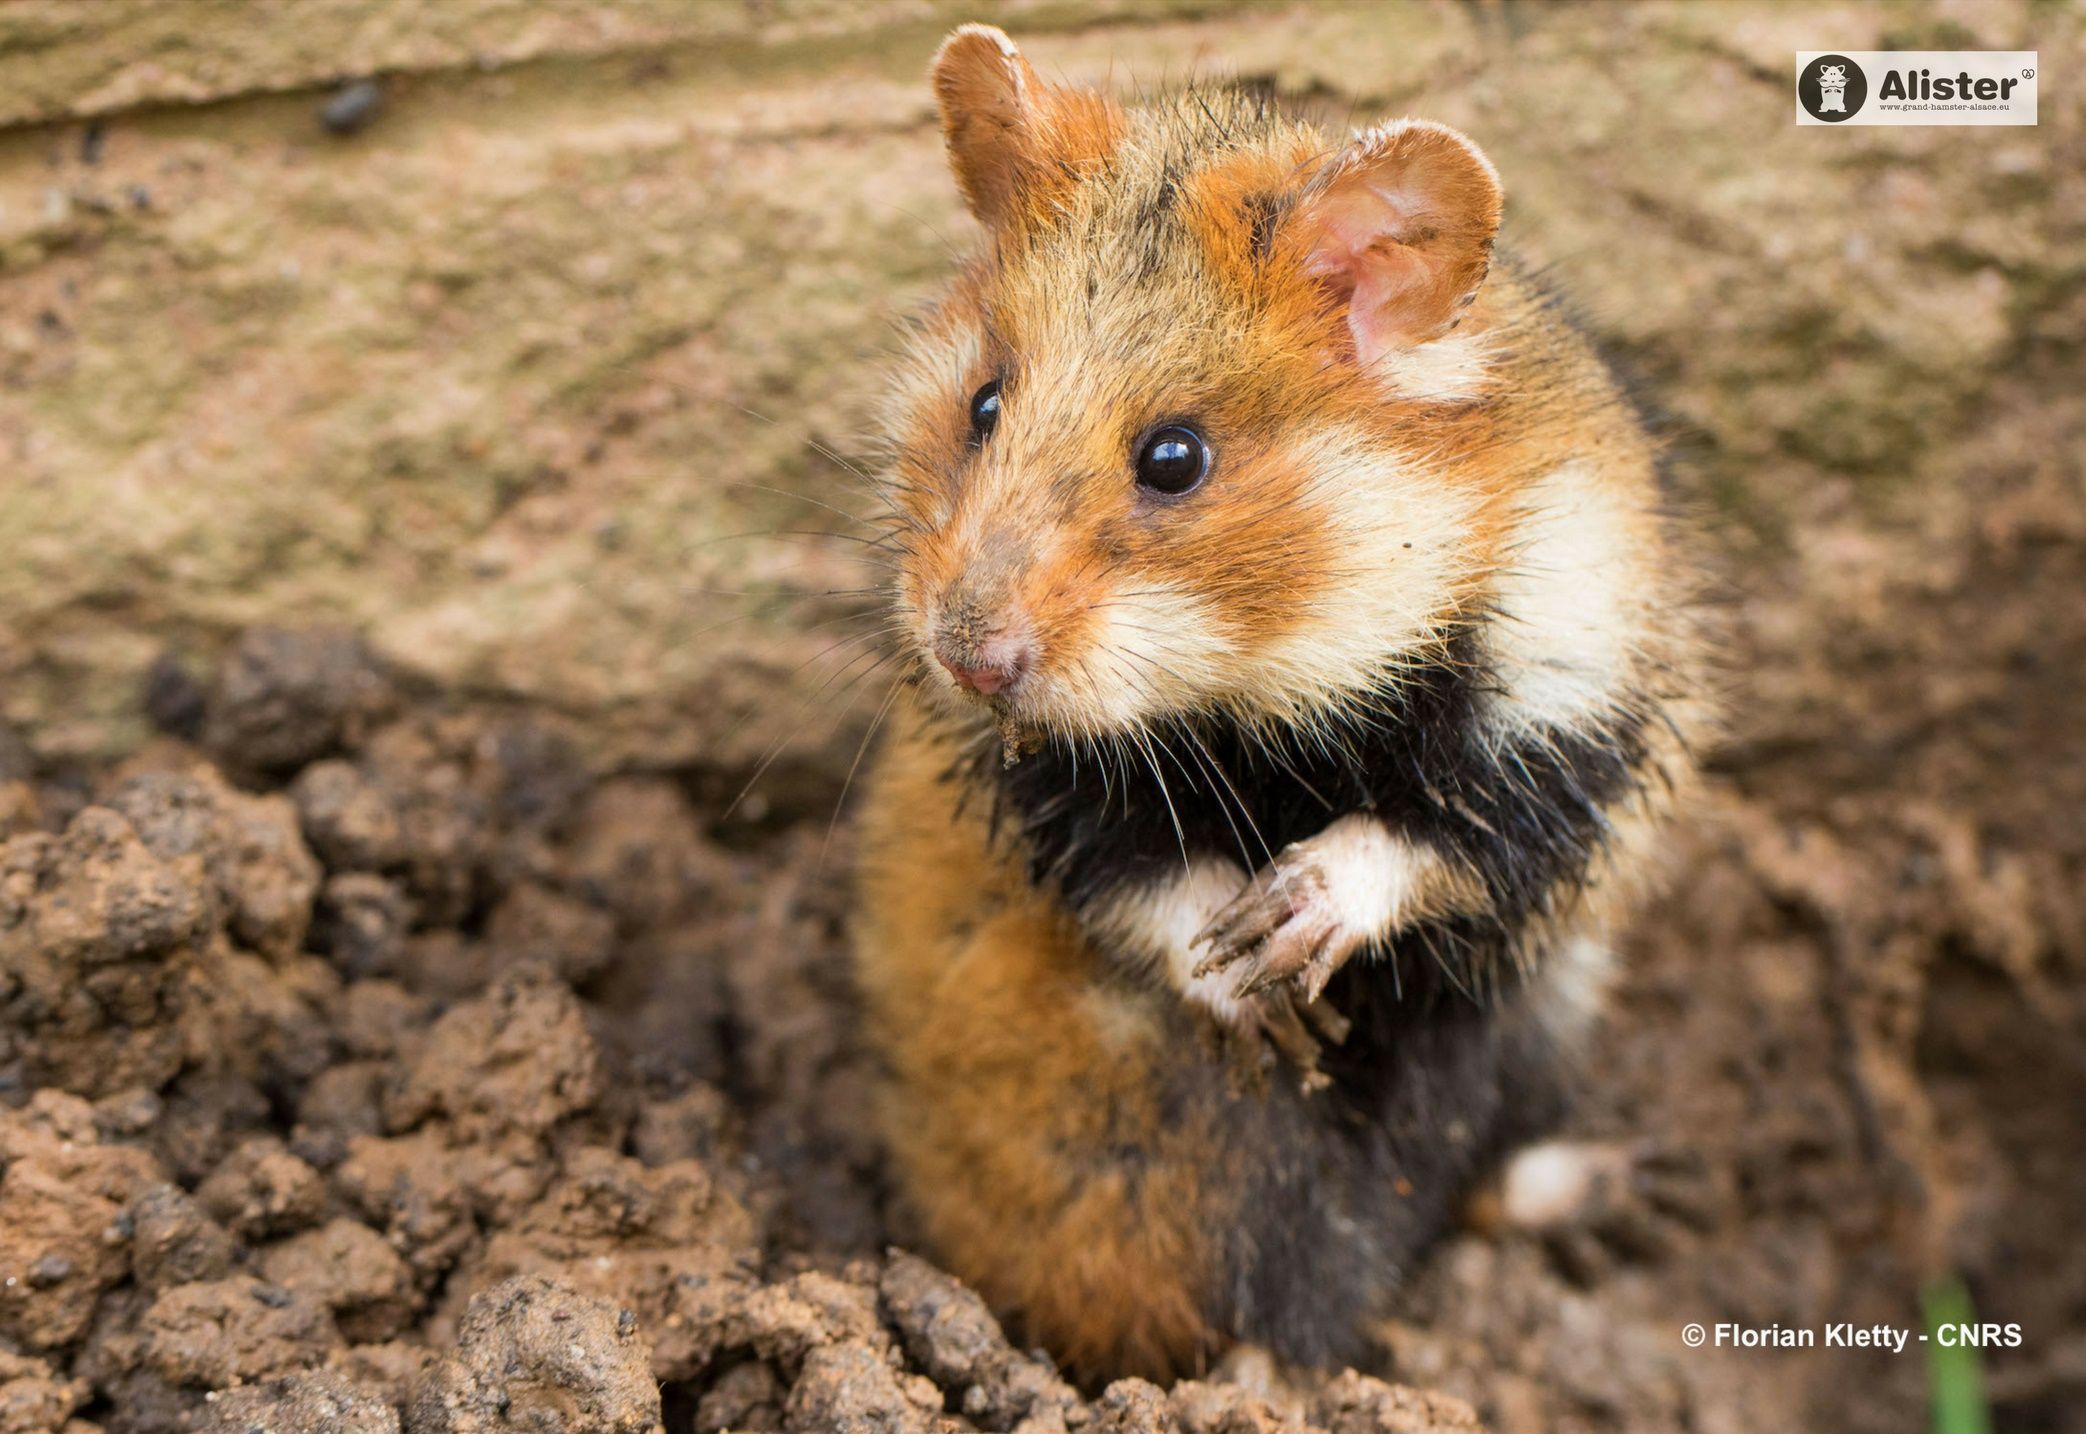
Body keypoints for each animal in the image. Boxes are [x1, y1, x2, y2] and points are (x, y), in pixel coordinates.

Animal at [852, 24, 1709, 1382]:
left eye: (1175, 457)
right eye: (984, 402)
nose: (965, 659)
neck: (1276, 673)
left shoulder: (1569, 711)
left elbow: (1431, 840)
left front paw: (1288, 925)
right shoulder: (1046, 789)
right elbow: (1142, 881)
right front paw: (1249, 978)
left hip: (1547, 1004)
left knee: (1465, 1177)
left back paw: (1641, 1197)